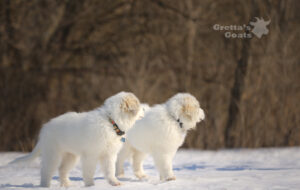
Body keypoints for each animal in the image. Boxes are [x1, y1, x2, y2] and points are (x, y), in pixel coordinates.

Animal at [9, 91, 141, 187]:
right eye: (139, 106)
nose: (144, 112)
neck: (111, 122)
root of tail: (45, 128)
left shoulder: (109, 154)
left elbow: (110, 170)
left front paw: (115, 182)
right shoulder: (91, 155)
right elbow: (89, 171)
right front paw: (90, 185)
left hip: (71, 156)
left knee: (62, 169)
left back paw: (67, 185)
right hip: (53, 154)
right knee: (46, 171)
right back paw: (45, 186)